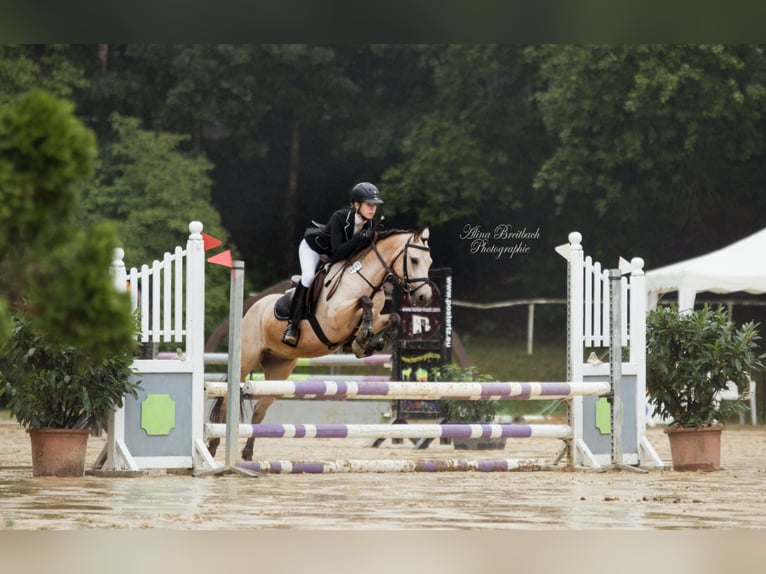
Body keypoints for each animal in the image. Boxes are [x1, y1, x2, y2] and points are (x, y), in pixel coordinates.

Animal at [210, 227, 436, 462]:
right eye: (413, 259)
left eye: (429, 261)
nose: (424, 297)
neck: (367, 280)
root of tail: (252, 309)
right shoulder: (334, 320)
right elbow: (364, 301)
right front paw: (364, 338)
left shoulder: (375, 316)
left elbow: (393, 318)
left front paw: (367, 343)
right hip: (246, 360)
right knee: (226, 401)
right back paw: (213, 445)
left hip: (279, 369)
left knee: (259, 410)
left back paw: (247, 454)